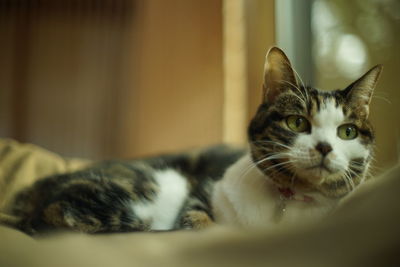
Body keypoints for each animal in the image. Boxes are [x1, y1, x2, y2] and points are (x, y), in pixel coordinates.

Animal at [0, 47, 382, 236]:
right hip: (159, 185)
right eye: (297, 122)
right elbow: (198, 222)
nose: (324, 148)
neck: (286, 206)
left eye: (347, 131)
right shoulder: (199, 197)